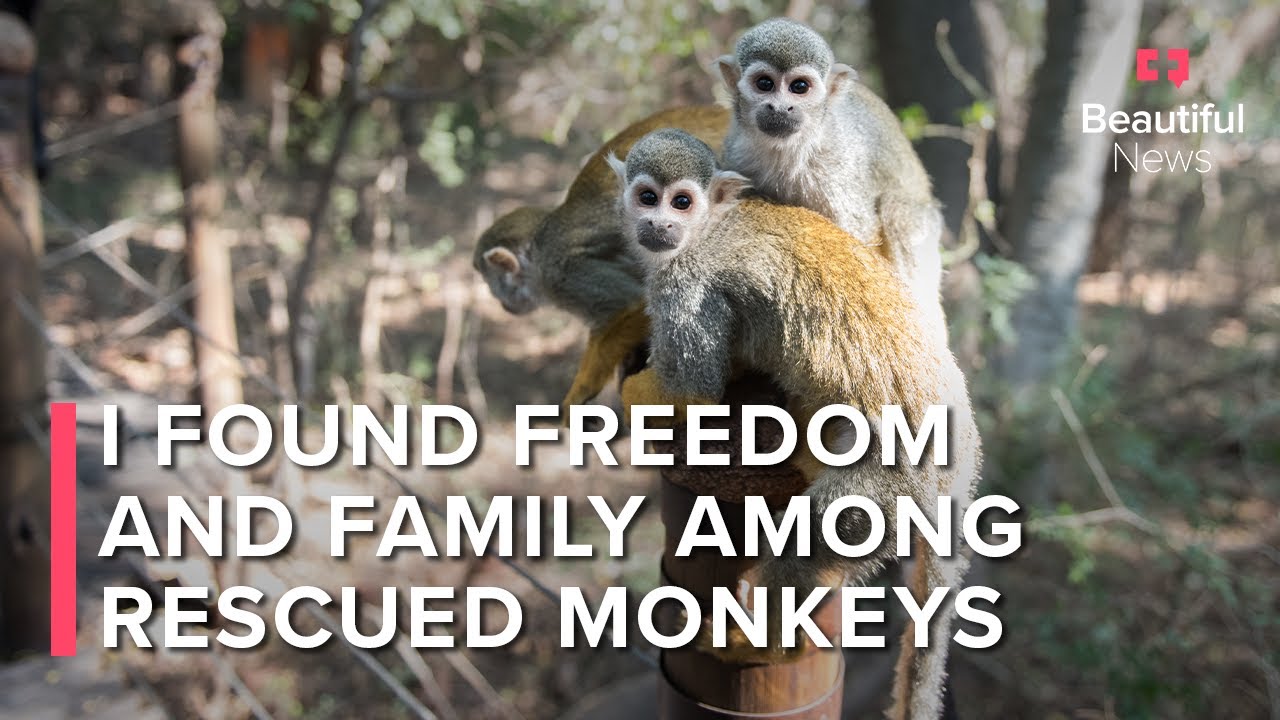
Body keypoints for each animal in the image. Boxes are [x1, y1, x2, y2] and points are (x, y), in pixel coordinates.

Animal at [473, 105, 730, 412]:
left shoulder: (563, 275)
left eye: (491, 282)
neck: (538, 253)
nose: (499, 300)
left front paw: (579, 394)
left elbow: (628, 306)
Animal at [609, 129, 980, 720]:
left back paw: (765, 644)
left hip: (899, 484)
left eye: (681, 202)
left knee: (811, 534)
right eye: (647, 198)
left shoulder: (686, 282)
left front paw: (632, 393)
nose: (659, 226)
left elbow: (691, 390)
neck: (708, 226)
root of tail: (961, 464)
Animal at [717, 18, 946, 342]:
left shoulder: (839, 166)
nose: (780, 107)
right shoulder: (736, 152)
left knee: (898, 213)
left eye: (799, 87)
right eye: (764, 84)